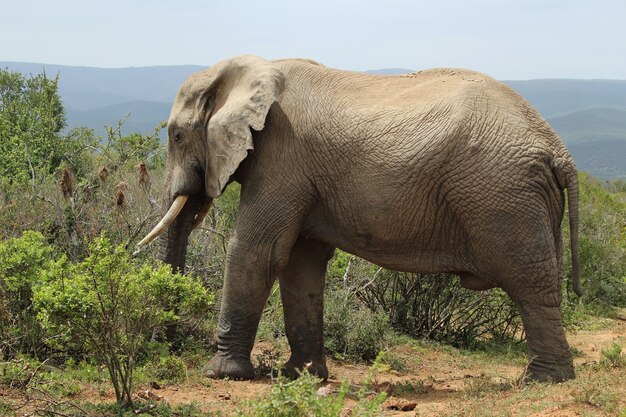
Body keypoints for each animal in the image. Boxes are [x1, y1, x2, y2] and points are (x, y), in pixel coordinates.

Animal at [136, 55, 580, 384]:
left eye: (176, 136)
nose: (163, 345)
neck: (250, 69)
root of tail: (558, 150)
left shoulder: (282, 157)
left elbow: (257, 252)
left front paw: (220, 374)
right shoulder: (300, 173)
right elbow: (301, 263)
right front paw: (301, 377)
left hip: (503, 193)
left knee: (529, 280)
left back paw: (541, 381)